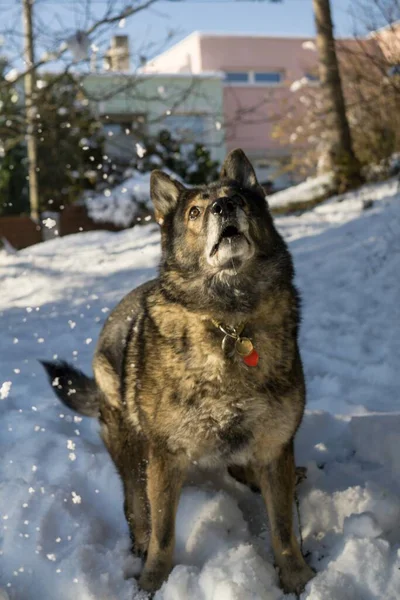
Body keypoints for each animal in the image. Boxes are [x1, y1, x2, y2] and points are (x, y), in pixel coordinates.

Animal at [42, 149, 314, 596]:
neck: (229, 320)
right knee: (135, 500)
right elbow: (164, 532)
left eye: (240, 198)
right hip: (129, 440)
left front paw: (298, 577)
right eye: (195, 211)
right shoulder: (166, 457)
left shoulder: (275, 446)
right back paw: (139, 537)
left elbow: (284, 529)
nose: (225, 207)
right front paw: (153, 581)